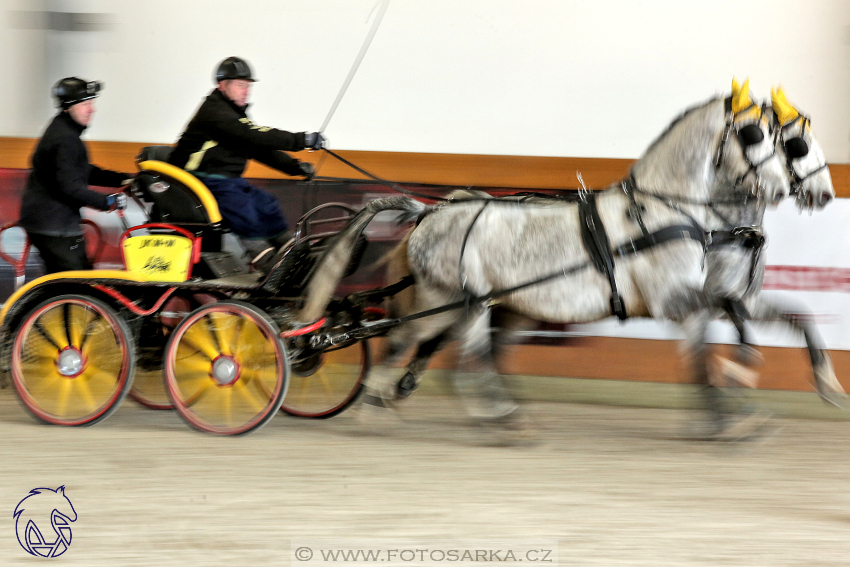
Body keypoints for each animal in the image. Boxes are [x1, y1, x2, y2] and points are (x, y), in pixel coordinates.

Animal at [298, 84, 788, 430]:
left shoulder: (688, 297)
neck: (659, 209)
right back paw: (390, 403)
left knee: (460, 351)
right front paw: (728, 413)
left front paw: (737, 391)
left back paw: (482, 409)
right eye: (752, 134)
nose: (783, 188)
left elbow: (728, 319)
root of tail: (430, 212)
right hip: (446, 300)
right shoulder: (674, 299)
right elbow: (708, 337)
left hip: (479, 304)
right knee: (410, 341)